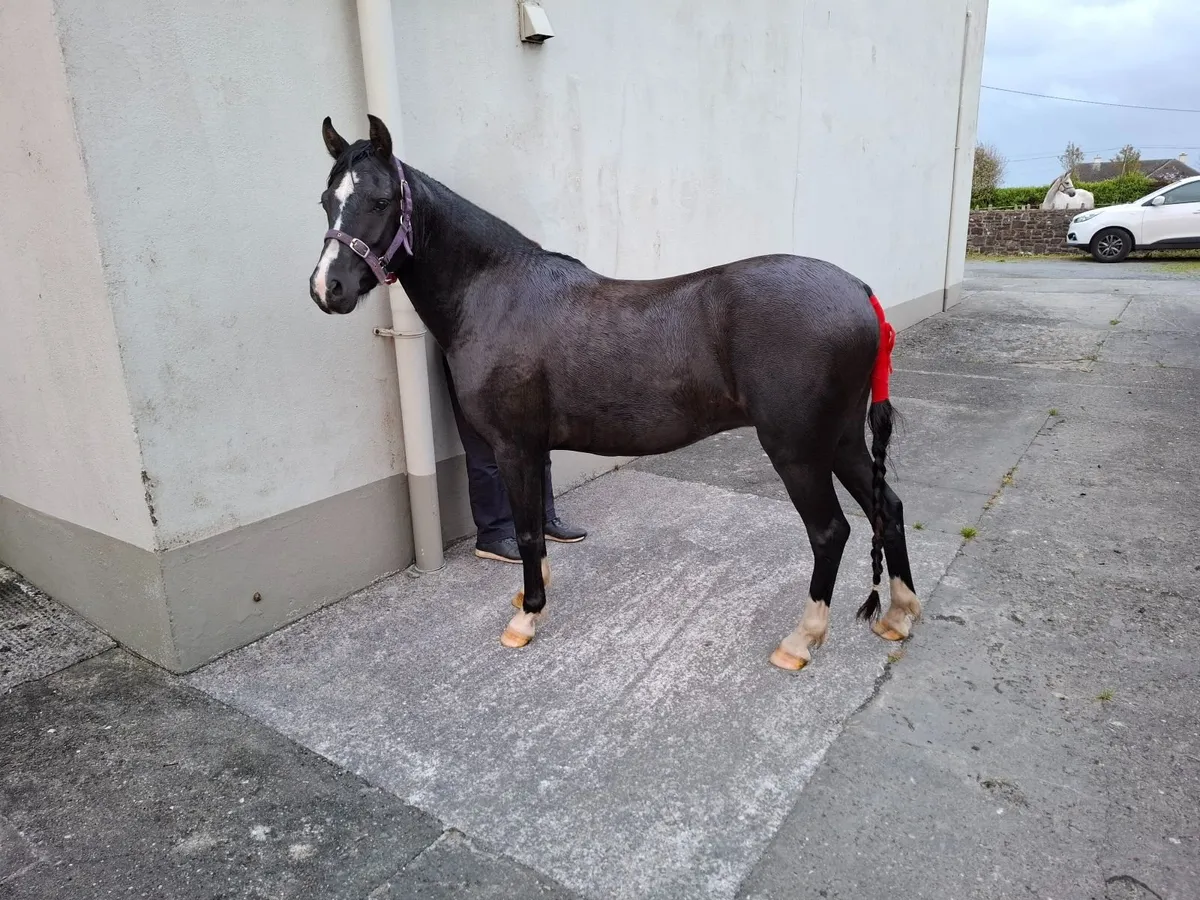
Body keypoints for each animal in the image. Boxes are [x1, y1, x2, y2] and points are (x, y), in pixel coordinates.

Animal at [308, 115, 922, 672]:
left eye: (381, 200)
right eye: (325, 200)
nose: (327, 288)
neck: (496, 292)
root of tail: (858, 291)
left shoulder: (512, 445)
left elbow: (527, 530)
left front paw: (526, 616)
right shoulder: (530, 447)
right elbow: (534, 527)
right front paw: (532, 594)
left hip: (797, 450)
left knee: (830, 531)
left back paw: (800, 641)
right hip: (839, 440)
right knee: (888, 508)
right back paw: (898, 615)